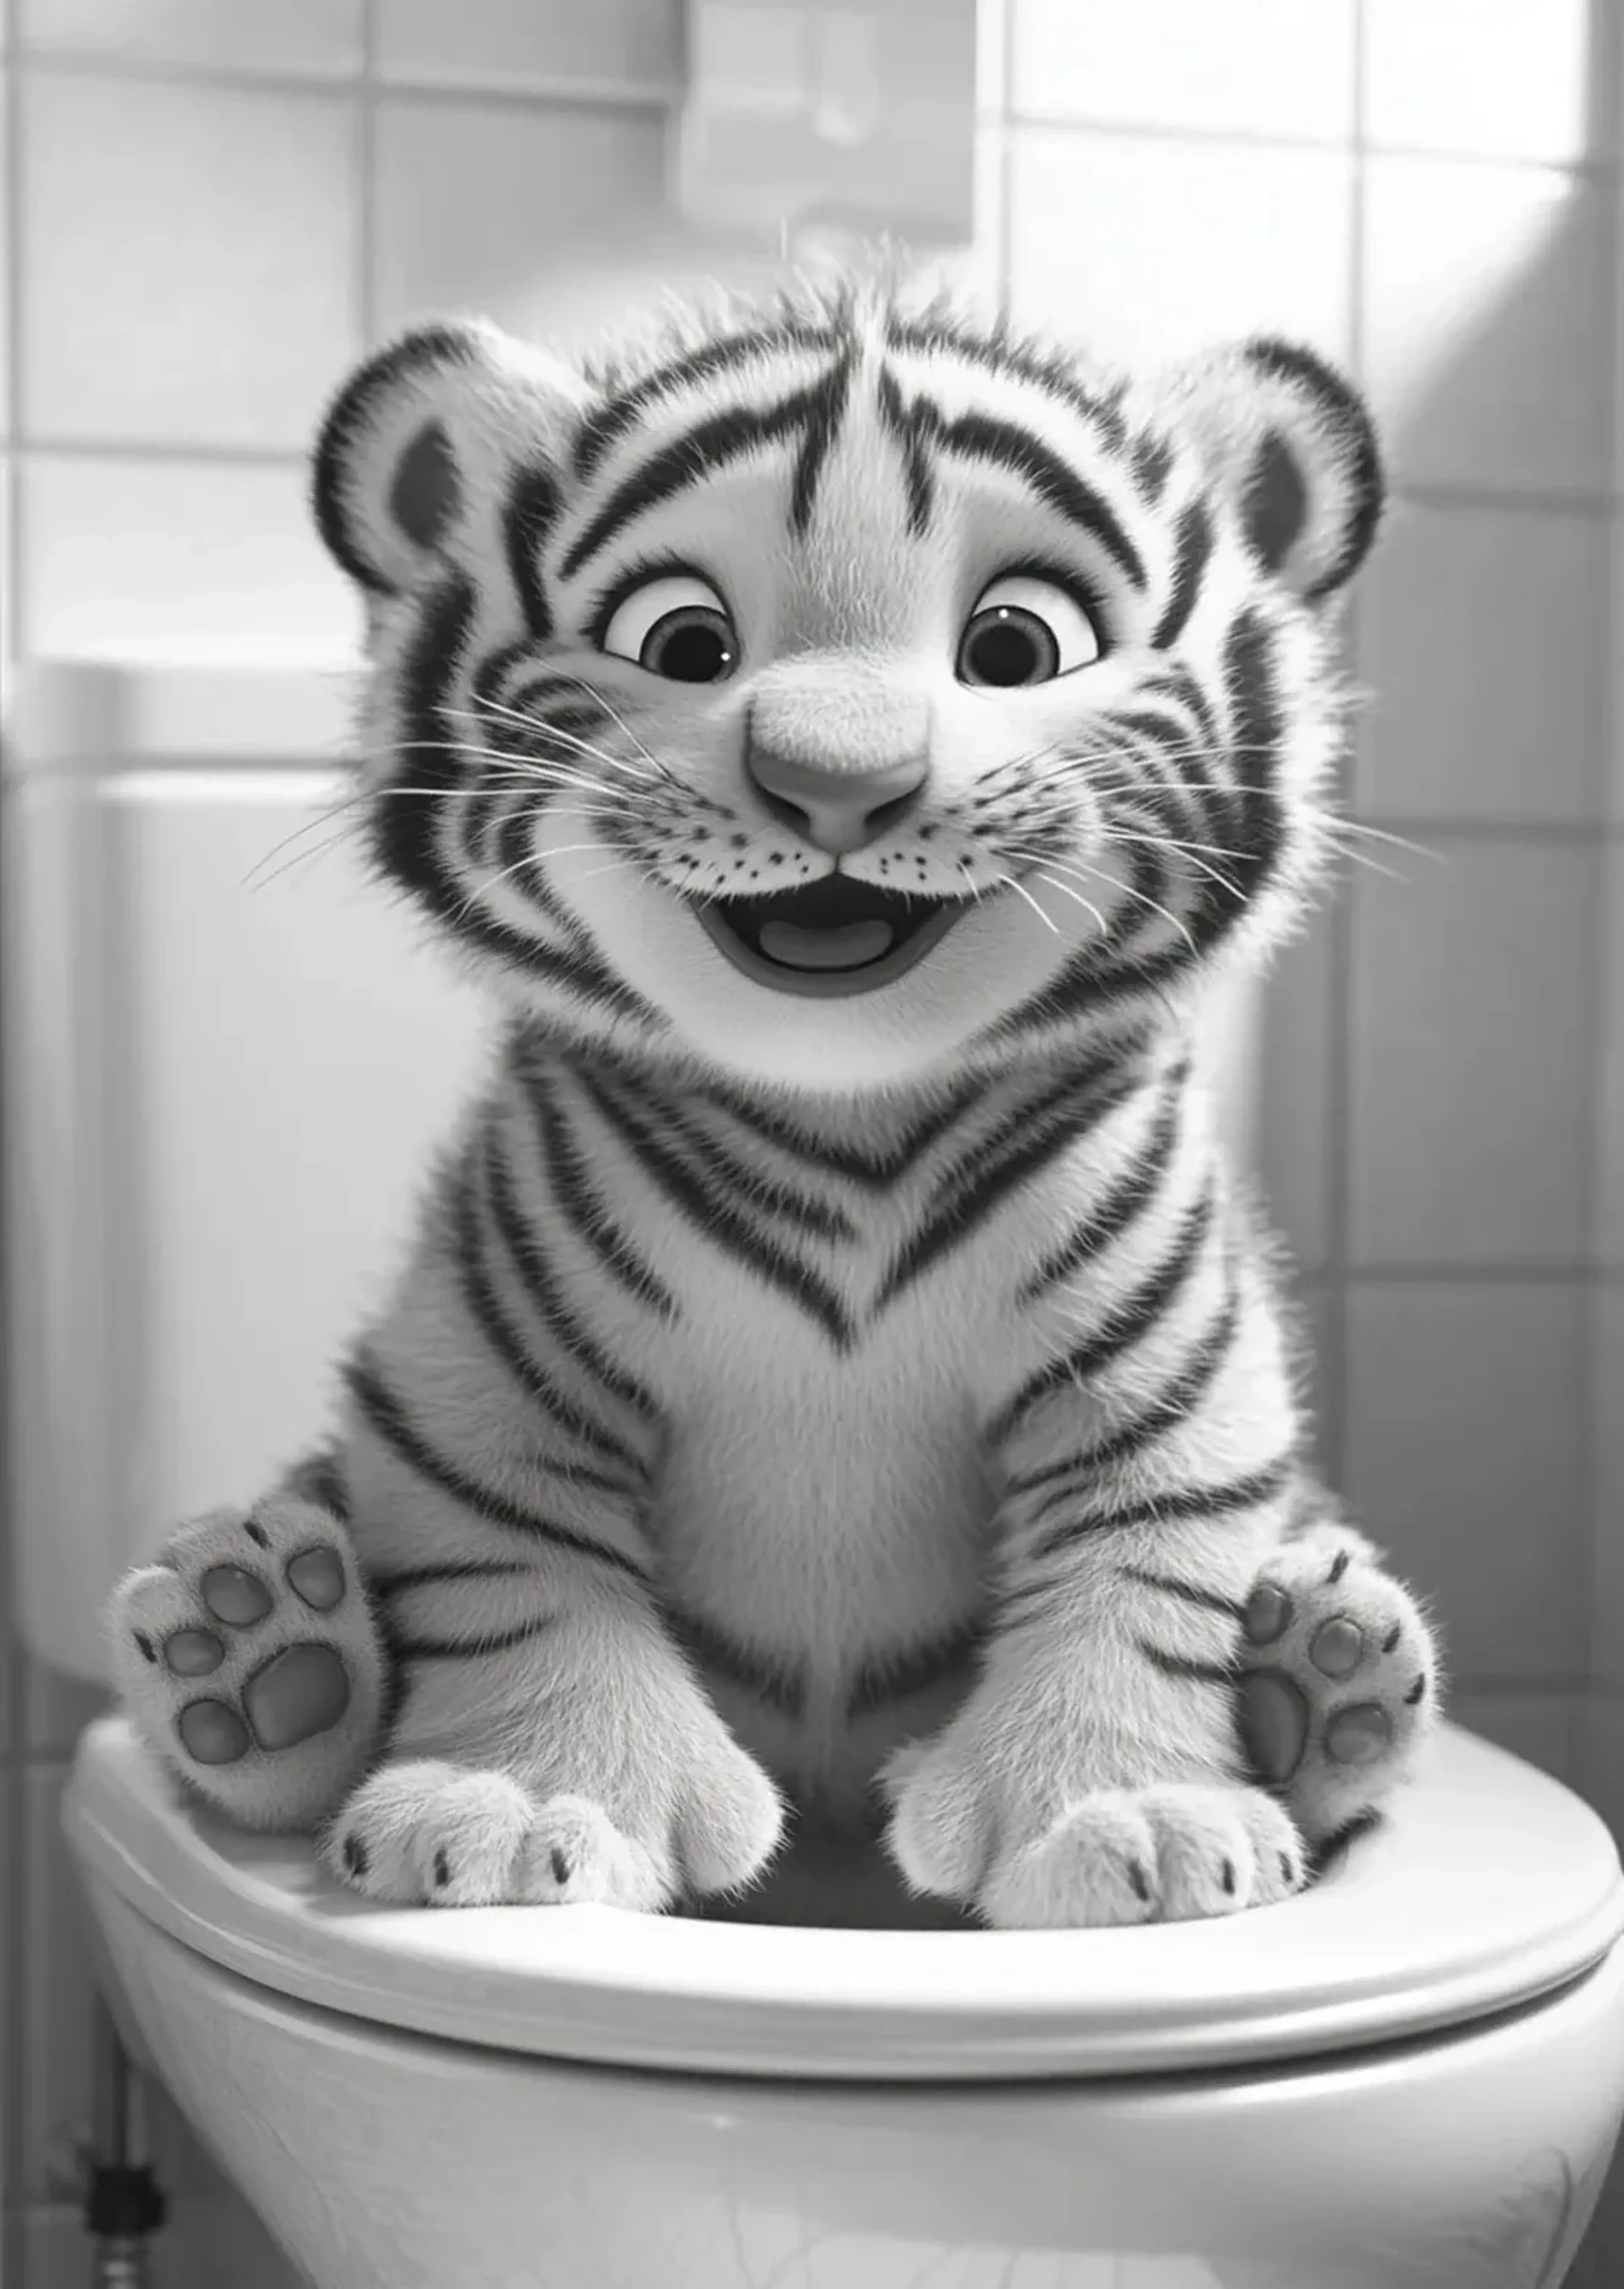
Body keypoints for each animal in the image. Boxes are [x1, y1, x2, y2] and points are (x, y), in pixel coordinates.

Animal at [108, 271, 1440, 1931]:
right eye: (682, 640)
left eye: (1018, 643)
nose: (838, 781)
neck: (845, 1108)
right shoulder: (479, 1361)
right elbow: (514, 1562)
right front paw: (517, 1805)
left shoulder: (1165, 1362)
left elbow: (1142, 1564)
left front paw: (1126, 1812)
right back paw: (260, 1654)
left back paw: (1322, 1678)